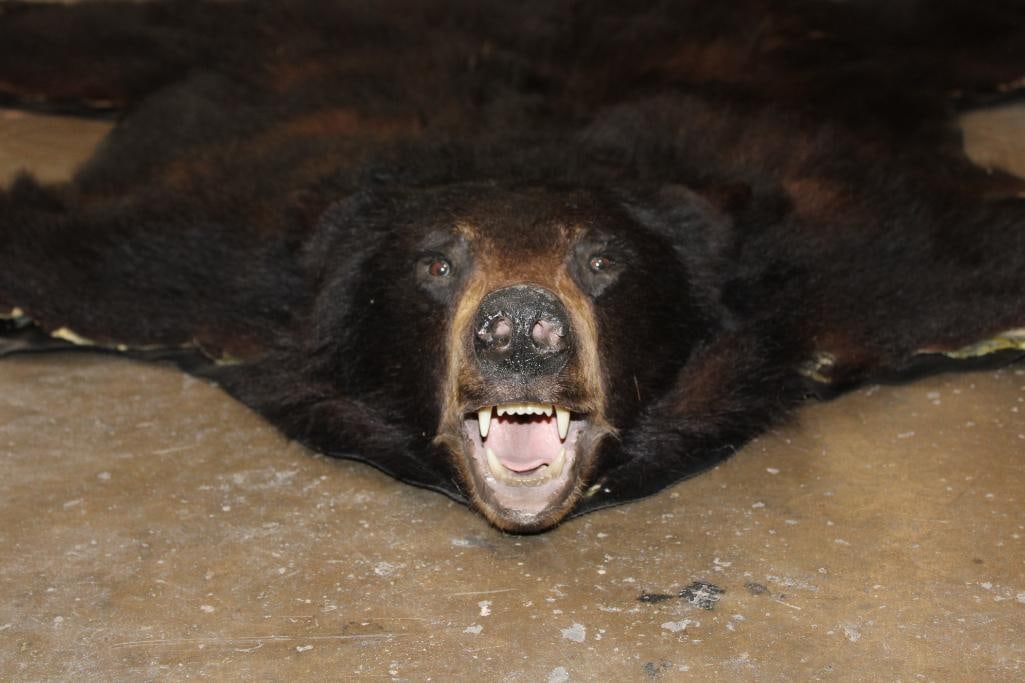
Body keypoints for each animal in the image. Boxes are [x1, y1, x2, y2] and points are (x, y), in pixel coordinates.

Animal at [1, 0, 1024, 532]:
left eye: (602, 257)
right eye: (434, 265)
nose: (521, 328)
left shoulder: (851, 269)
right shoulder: (196, 275)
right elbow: (55, 258)